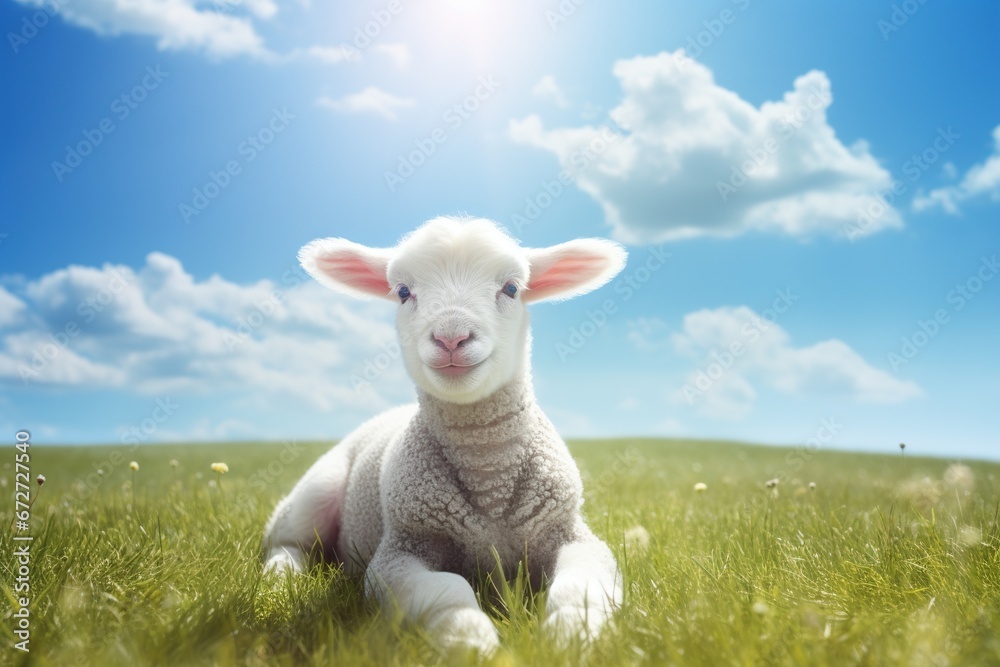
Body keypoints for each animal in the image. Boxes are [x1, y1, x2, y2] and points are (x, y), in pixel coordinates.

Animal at [262, 216, 627, 654]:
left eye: (511, 288)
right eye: (403, 292)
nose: (451, 337)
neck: (489, 478)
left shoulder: (570, 533)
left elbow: (580, 587)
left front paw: (573, 636)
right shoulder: (401, 549)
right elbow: (446, 590)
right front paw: (469, 639)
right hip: (317, 488)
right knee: (286, 543)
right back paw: (279, 583)